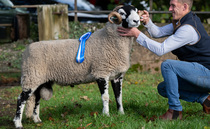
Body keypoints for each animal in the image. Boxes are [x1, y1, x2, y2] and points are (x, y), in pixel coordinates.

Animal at [13, 4, 141, 128]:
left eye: (136, 10)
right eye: (122, 13)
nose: (137, 20)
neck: (109, 39)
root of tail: (26, 51)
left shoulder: (117, 76)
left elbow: (119, 96)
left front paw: (121, 114)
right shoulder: (101, 72)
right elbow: (105, 97)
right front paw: (106, 115)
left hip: (39, 80)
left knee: (37, 98)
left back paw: (37, 120)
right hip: (31, 77)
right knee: (21, 99)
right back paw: (18, 123)